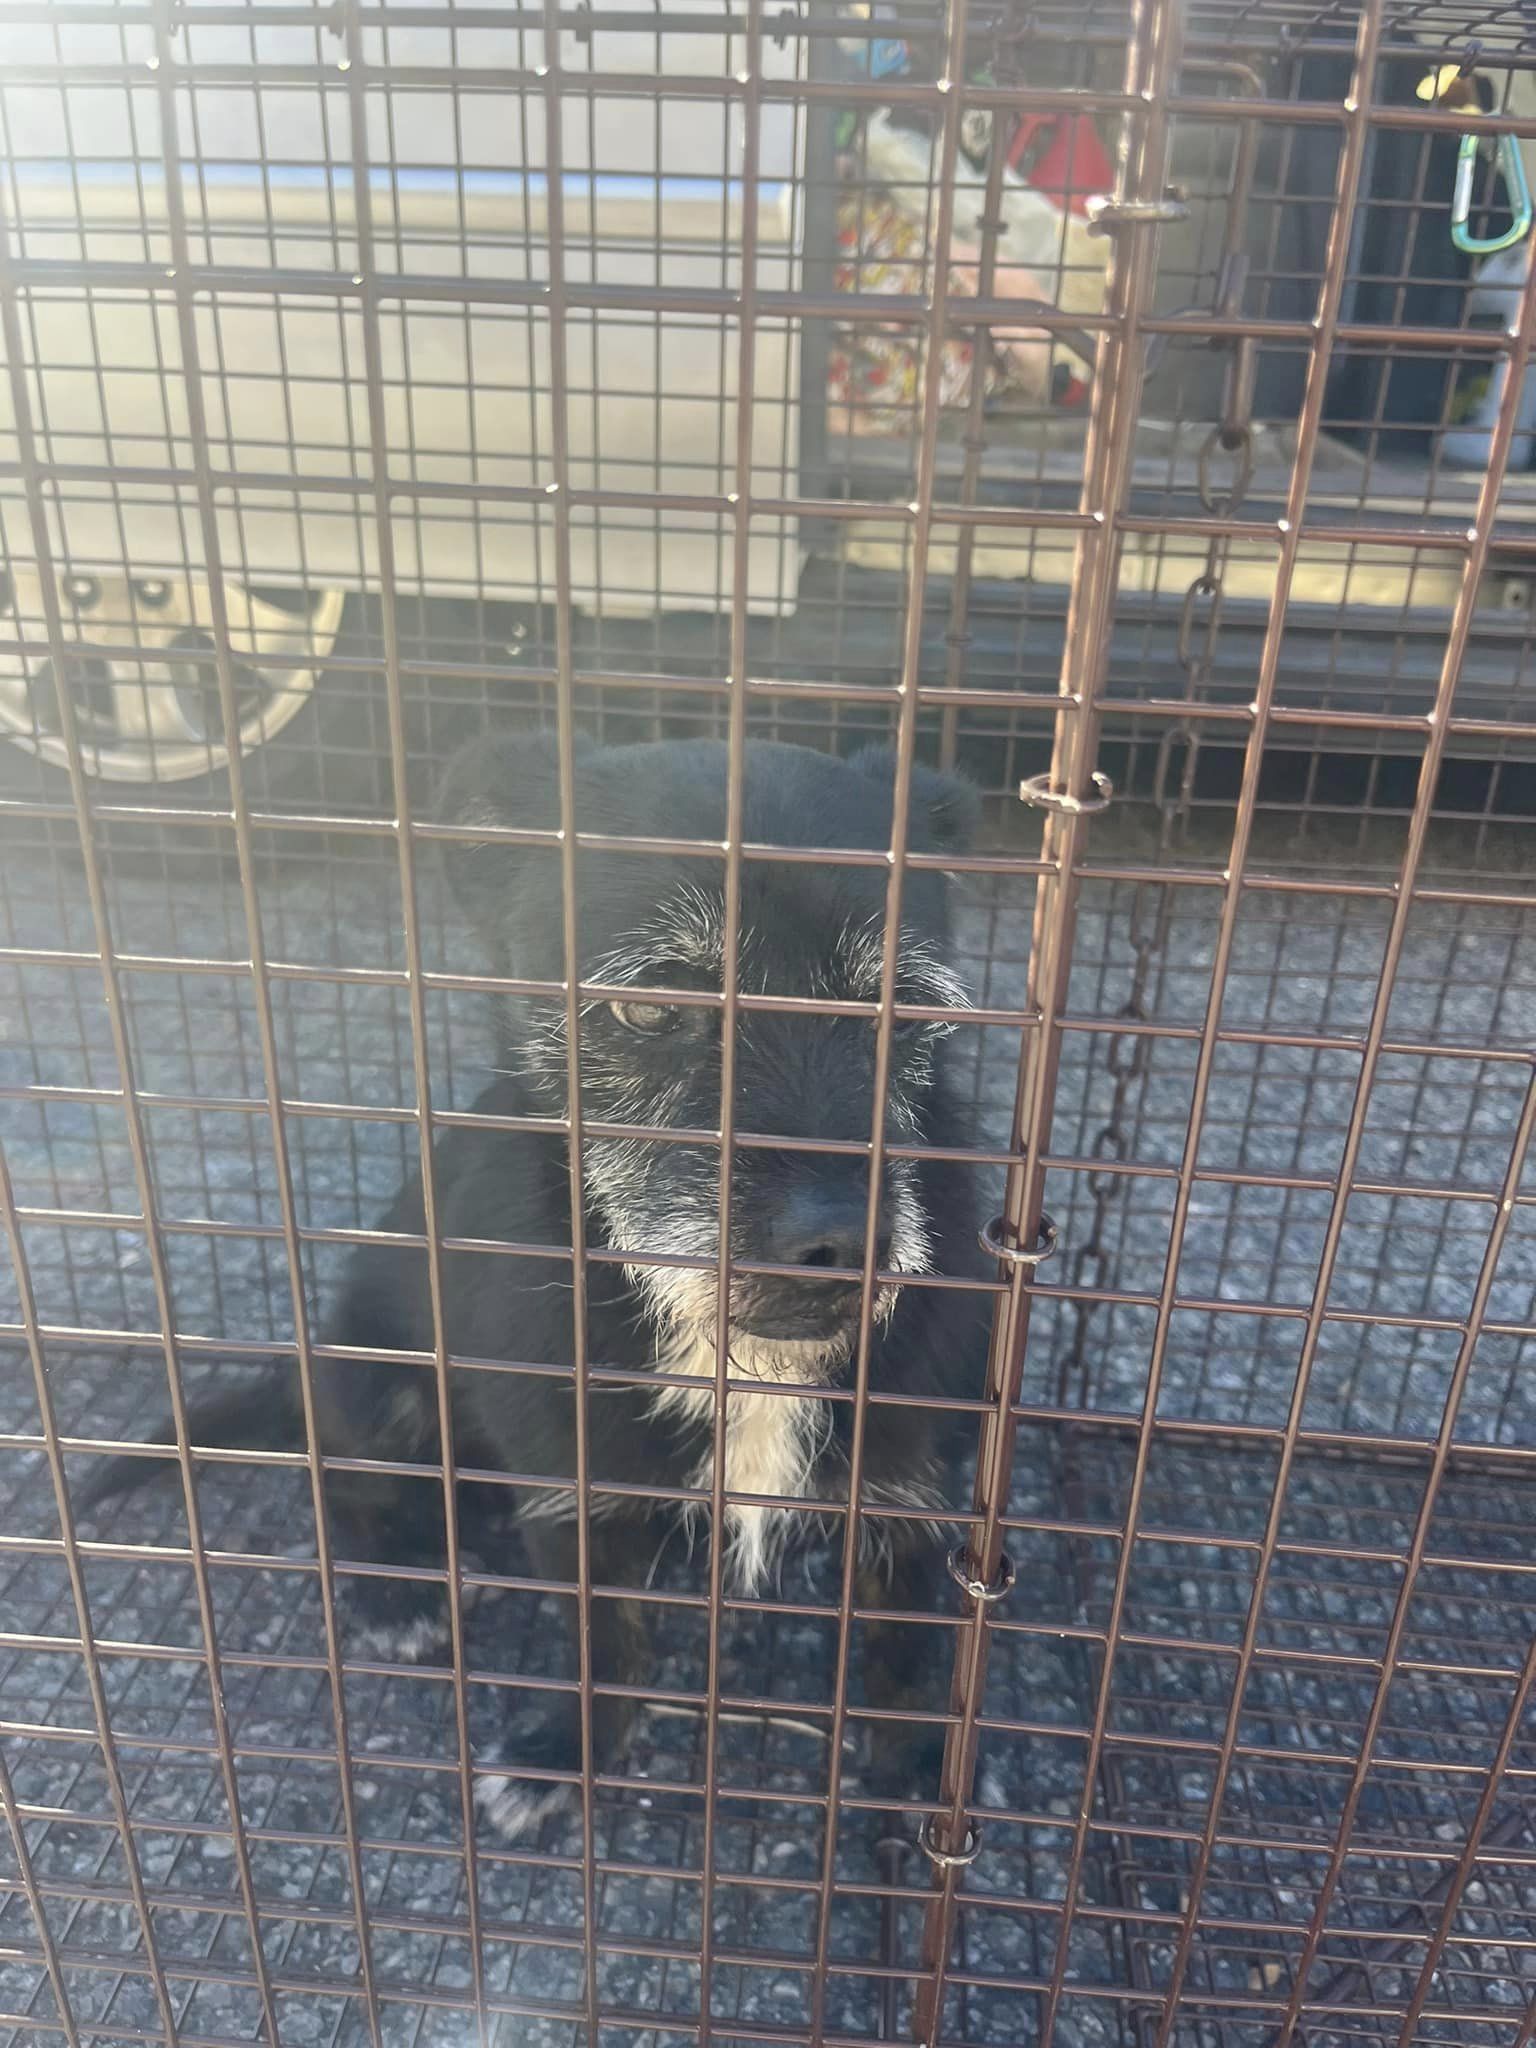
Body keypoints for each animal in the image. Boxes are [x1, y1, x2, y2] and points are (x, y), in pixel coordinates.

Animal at [83, 741, 991, 1843]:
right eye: (652, 1007)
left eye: (910, 1008)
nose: (839, 1240)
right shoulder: (576, 1499)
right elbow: (605, 1645)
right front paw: (569, 1752)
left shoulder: (909, 1494)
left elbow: (907, 1657)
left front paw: (916, 1775)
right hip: (370, 1375)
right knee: (341, 1480)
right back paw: (397, 1592)